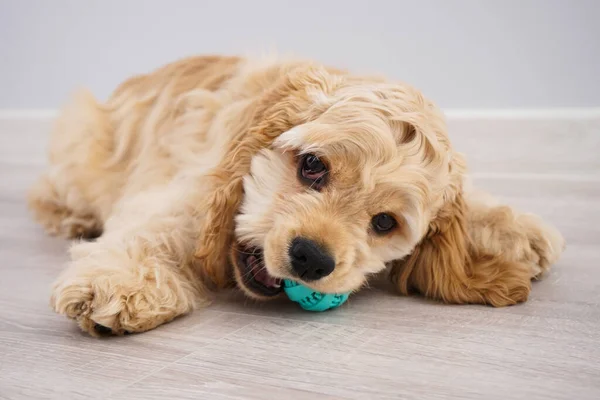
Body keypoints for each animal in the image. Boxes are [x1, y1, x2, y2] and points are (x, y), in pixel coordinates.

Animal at [27, 56, 564, 336]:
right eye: (312, 165)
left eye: (384, 222)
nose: (311, 258)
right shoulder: (192, 185)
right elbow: (155, 226)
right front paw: (118, 285)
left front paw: (515, 232)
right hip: (83, 139)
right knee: (48, 190)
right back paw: (71, 218)